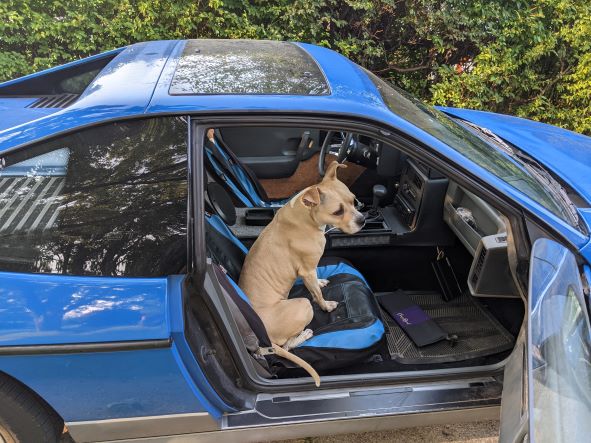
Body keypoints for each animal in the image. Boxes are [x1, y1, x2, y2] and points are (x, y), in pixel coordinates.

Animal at [240, 161, 366, 386]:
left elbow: (316, 282)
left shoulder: (310, 271)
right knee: (287, 345)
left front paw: (322, 281)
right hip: (303, 305)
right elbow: (317, 294)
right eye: (337, 212)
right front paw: (327, 305)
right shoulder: (306, 271)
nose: (362, 220)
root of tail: (262, 338)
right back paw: (305, 335)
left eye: (353, 201)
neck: (306, 217)